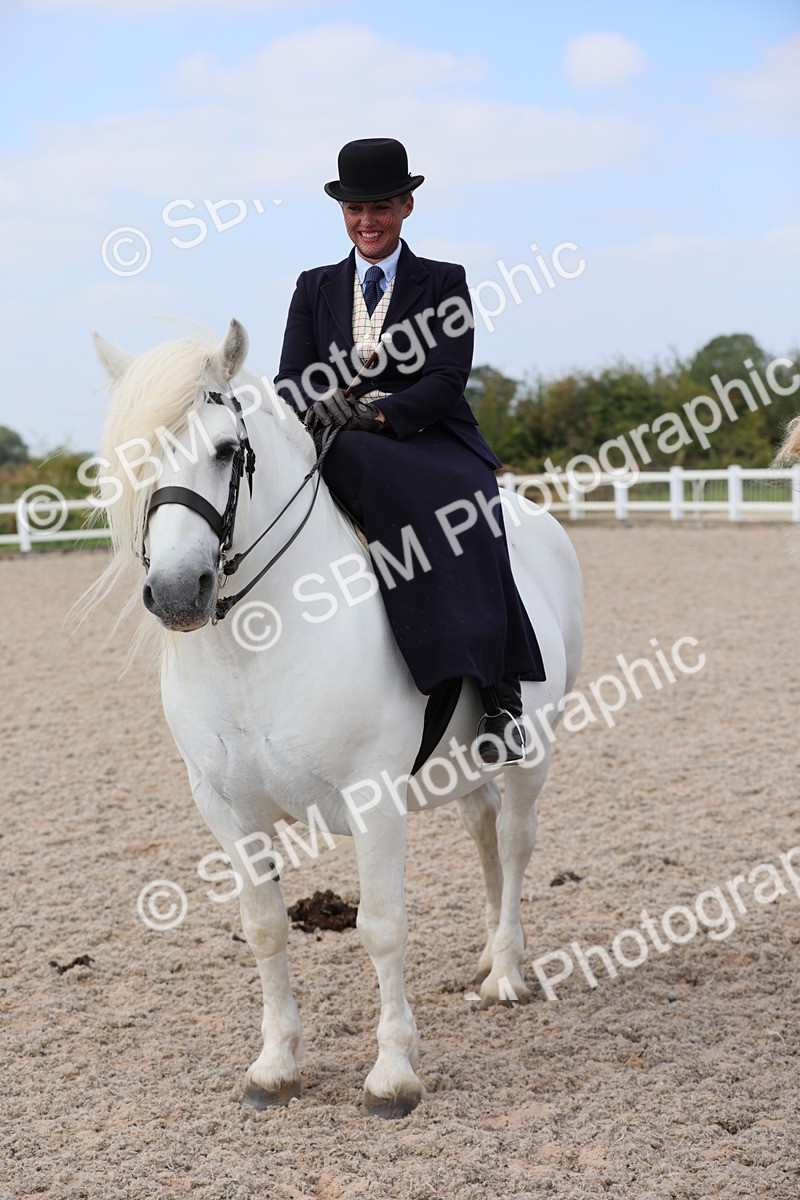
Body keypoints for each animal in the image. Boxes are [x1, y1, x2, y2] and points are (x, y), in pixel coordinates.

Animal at [83, 318, 584, 1119]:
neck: (253, 644)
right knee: (483, 832)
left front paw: (393, 1075)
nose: (179, 593)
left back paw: (507, 971)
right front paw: (275, 1066)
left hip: (532, 752)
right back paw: (485, 956)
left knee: (514, 841)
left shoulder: (373, 799)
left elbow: (380, 928)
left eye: (226, 449)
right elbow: (264, 927)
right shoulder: (224, 807)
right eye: (133, 460)